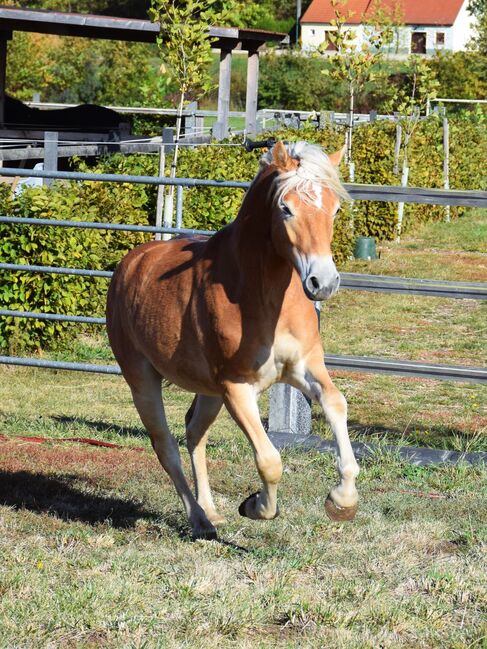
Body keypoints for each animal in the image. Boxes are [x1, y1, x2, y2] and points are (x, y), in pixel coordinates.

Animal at [107, 140, 358, 536]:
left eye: (334, 208)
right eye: (286, 208)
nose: (323, 282)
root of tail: (130, 265)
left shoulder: (304, 368)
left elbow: (336, 404)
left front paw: (342, 502)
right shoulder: (237, 387)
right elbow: (269, 460)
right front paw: (254, 505)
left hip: (208, 393)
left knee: (194, 434)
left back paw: (210, 511)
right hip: (142, 380)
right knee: (165, 446)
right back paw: (198, 519)